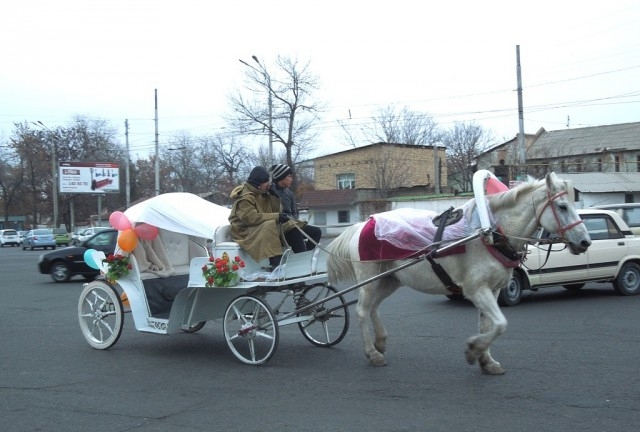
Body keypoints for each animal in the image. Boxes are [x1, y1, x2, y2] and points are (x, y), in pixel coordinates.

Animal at [328, 172, 592, 374]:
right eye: (562, 206)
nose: (585, 242)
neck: (490, 232)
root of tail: (363, 224)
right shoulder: (477, 290)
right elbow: (500, 324)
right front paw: (473, 350)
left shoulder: (493, 290)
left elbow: (488, 325)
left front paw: (486, 360)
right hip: (369, 280)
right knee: (362, 311)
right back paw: (372, 353)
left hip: (389, 280)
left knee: (373, 307)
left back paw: (380, 342)